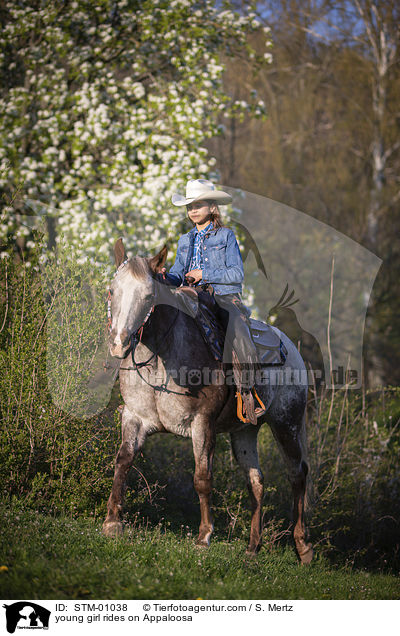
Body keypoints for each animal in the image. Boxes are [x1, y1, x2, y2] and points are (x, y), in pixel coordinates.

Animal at [102, 238, 312, 560]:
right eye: (112, 290)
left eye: (149, 295)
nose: (118, 343)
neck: (161, 359)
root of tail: (290, 347)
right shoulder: (134, 418)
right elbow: (123, 461)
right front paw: (112, 522)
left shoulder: (202, 424)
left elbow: (202, 478)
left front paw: (204, 536)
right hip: (245, 432)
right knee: (256, 482)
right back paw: (252, 548)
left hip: (286, 424)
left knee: (297, 474)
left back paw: (303, 547)